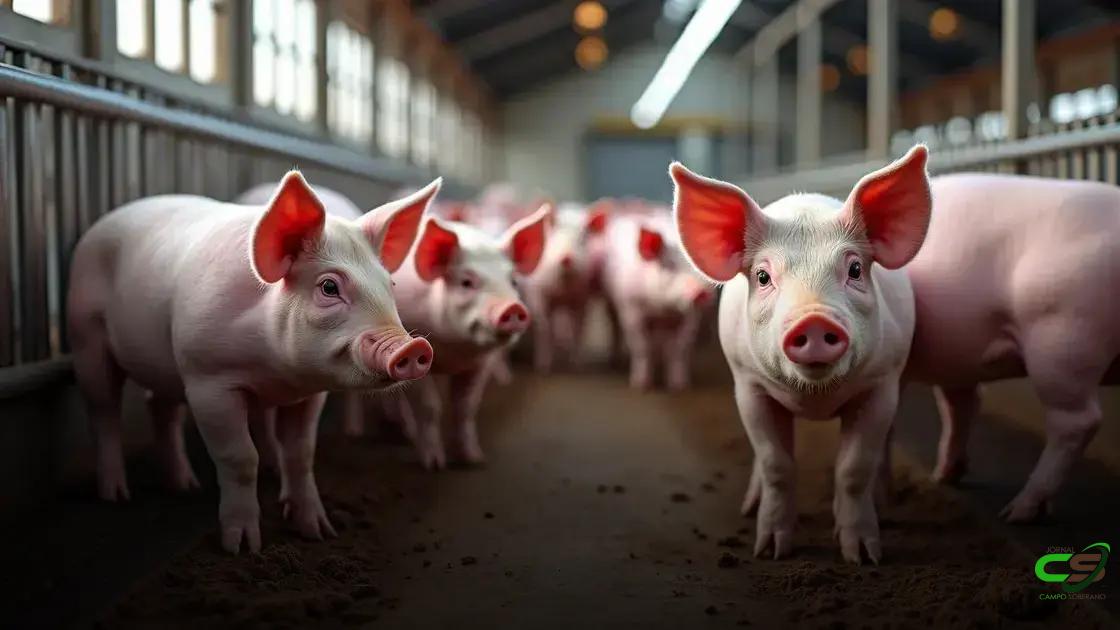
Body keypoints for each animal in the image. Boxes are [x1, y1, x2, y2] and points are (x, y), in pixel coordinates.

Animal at [67, 172, 437, 554]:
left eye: (390, 284)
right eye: (329, 287)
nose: (413, 347)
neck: (275, 371)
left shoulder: (309, 394)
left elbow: (301, 454)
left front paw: (319, 531)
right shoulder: (207, 380)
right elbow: (240, 457)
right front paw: (243, 548)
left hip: (164, 364)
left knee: (159, 406)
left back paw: (185, 485)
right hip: (85, 335)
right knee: (104, 412)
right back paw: (116, 495)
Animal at [391, 208, 549, 468]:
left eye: (513, 281)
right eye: (466, 282)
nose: (513, 307)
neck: (454, 352)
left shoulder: (480, 364)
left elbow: (465, 407)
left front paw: (473, 459)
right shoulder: (412, 356)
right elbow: (429, 407)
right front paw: (434, 465)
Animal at [600, 208, 715, 391]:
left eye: (698, 267)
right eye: (669, 265)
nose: (700, 292)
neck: (663, 309)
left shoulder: (689, 318)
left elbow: (679, 349)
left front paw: (679, 386)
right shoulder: (631, 309)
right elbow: (641, 346)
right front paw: (641, 386)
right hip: (610, 302)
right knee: (614, 328)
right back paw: (615, 361)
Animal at [670, 145, 932, 564]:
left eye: (854, 269)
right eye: (763, 277)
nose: (813, 319)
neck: (814, 399)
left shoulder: (881, 384)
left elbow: (854, 468)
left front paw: (864, 557)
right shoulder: (749, 386)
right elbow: (776, 464)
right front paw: (770, 551)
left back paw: (884, 499)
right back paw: (750, 506)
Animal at [905, 174, 1120, 522]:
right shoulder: (954, 361)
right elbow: (959, 406)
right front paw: (942, 478)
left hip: (1062, 339)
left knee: (1077, 421)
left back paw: (1017, 512)